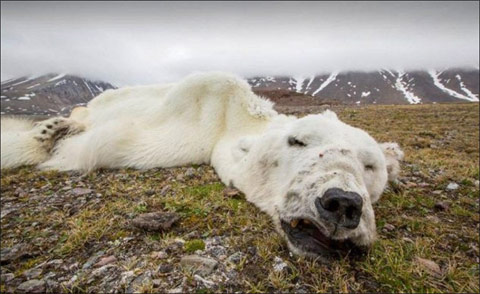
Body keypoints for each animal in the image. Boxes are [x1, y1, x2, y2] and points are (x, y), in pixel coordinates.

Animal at [1, 72, 404, 258]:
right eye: (298, 140)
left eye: (370, 165)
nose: (342, 203)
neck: (232, 121)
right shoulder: (192, 116)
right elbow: (106, 142)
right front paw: (47, 139)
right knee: (85, 111)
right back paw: (56, 125)